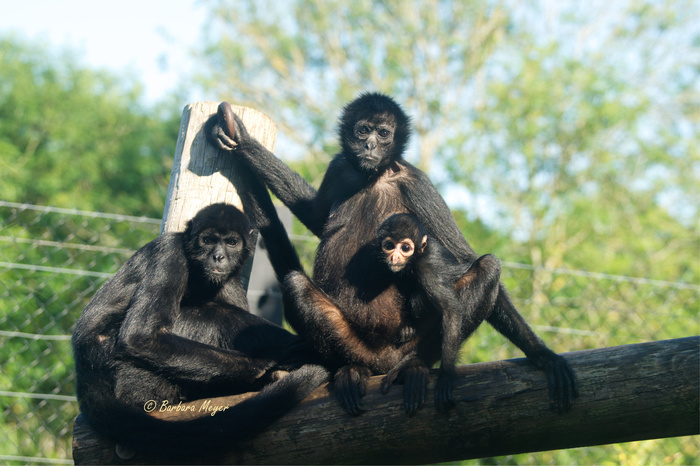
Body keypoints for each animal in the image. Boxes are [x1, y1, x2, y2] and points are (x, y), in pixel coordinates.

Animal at [72, 203, 328, 459]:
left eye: (231, 243)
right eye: (208, 240)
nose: (218, 256)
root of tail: (84, 366)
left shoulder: (229, 278)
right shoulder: (170, 253)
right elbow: (139, 337)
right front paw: (266, 360)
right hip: (112, 357)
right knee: (209, 313)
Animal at [208, 93, 578, 416]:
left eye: (384, 133)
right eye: (363, 130)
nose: (370, 145)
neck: (373, 175)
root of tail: (383, 360)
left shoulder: (416, 181)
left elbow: (465, 256)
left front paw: (543, 354)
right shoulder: (341, 166)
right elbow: (314, 215)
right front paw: (241, 140)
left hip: (412, 342)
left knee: (487, 267)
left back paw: (414, 366)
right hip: (354, 343)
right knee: (298, 286)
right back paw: (351, 370)